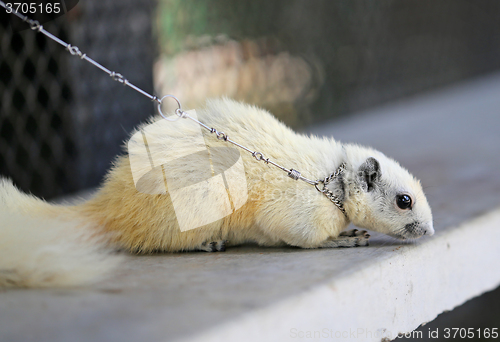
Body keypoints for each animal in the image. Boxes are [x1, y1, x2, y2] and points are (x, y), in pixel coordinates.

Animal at [0, 97, 434, 288]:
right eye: (404, 200)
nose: (430, 232)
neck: (332, 181)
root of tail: (108, 208)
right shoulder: (298, 214)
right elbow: (302, 238)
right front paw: (345, 238)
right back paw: (207, 243)